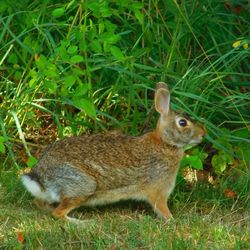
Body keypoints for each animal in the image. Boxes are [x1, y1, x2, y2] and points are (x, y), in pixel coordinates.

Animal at [21, 81, 206, 223]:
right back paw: (83, 224)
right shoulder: (158, 191)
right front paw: (173, 220)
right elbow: (162, 209)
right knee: (58, 213)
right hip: (84, 186)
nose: (203, 134)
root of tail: (40, 177)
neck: (165, 142)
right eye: (183, 123)